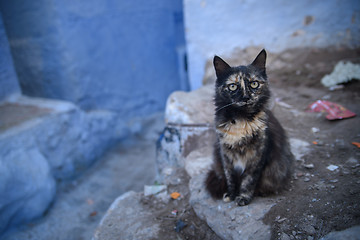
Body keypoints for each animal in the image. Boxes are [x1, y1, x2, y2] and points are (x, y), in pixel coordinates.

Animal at [205, 49, 292, 206]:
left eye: (254, 84)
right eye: (233, 86)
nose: (245, 97)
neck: (241, 119)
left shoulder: (258, 156)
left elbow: (249, 180)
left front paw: (243, 197)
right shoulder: (226, 155)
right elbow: (230, 177)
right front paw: (231, 194)